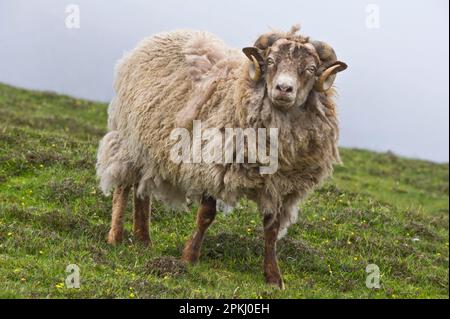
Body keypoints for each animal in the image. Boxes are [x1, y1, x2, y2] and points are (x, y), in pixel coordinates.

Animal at [96, 25, 348, 290]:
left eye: (310, 69)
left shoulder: (278, 186)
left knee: (142, 192)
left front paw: (273, 278)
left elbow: (271, 230)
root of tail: (160, 36)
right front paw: (189, 258)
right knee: (123, 186)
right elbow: (206, 216)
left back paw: (143, 240)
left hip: (150, 147)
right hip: (128, 139)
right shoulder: (212, 165)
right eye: (270, 61)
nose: (283, 89)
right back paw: (116, 237)